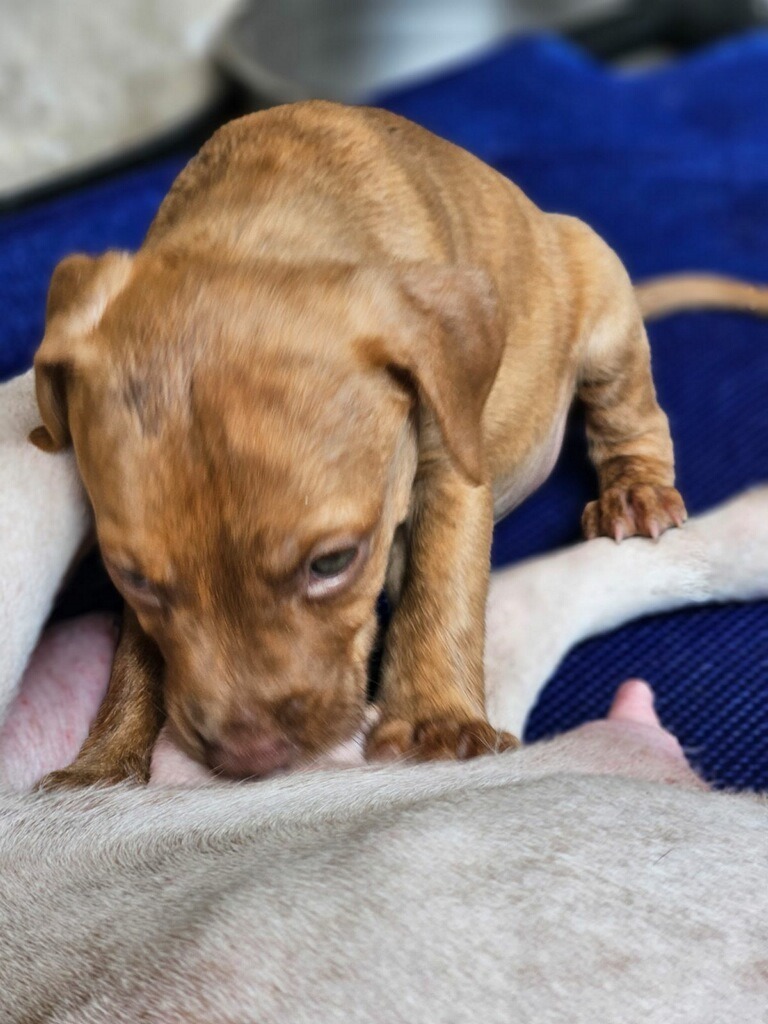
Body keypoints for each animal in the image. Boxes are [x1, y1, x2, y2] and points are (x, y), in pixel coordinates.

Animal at [33, 99, 692, 782]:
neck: (264, 210)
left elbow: (440, 587)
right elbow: (133, 651)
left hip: (603, 302)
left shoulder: (451, 461)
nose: (251, 757)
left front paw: (436, 720)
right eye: (130, 579)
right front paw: (105, 760)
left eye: (333, 563)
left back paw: (635, 492)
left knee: (631, 413)